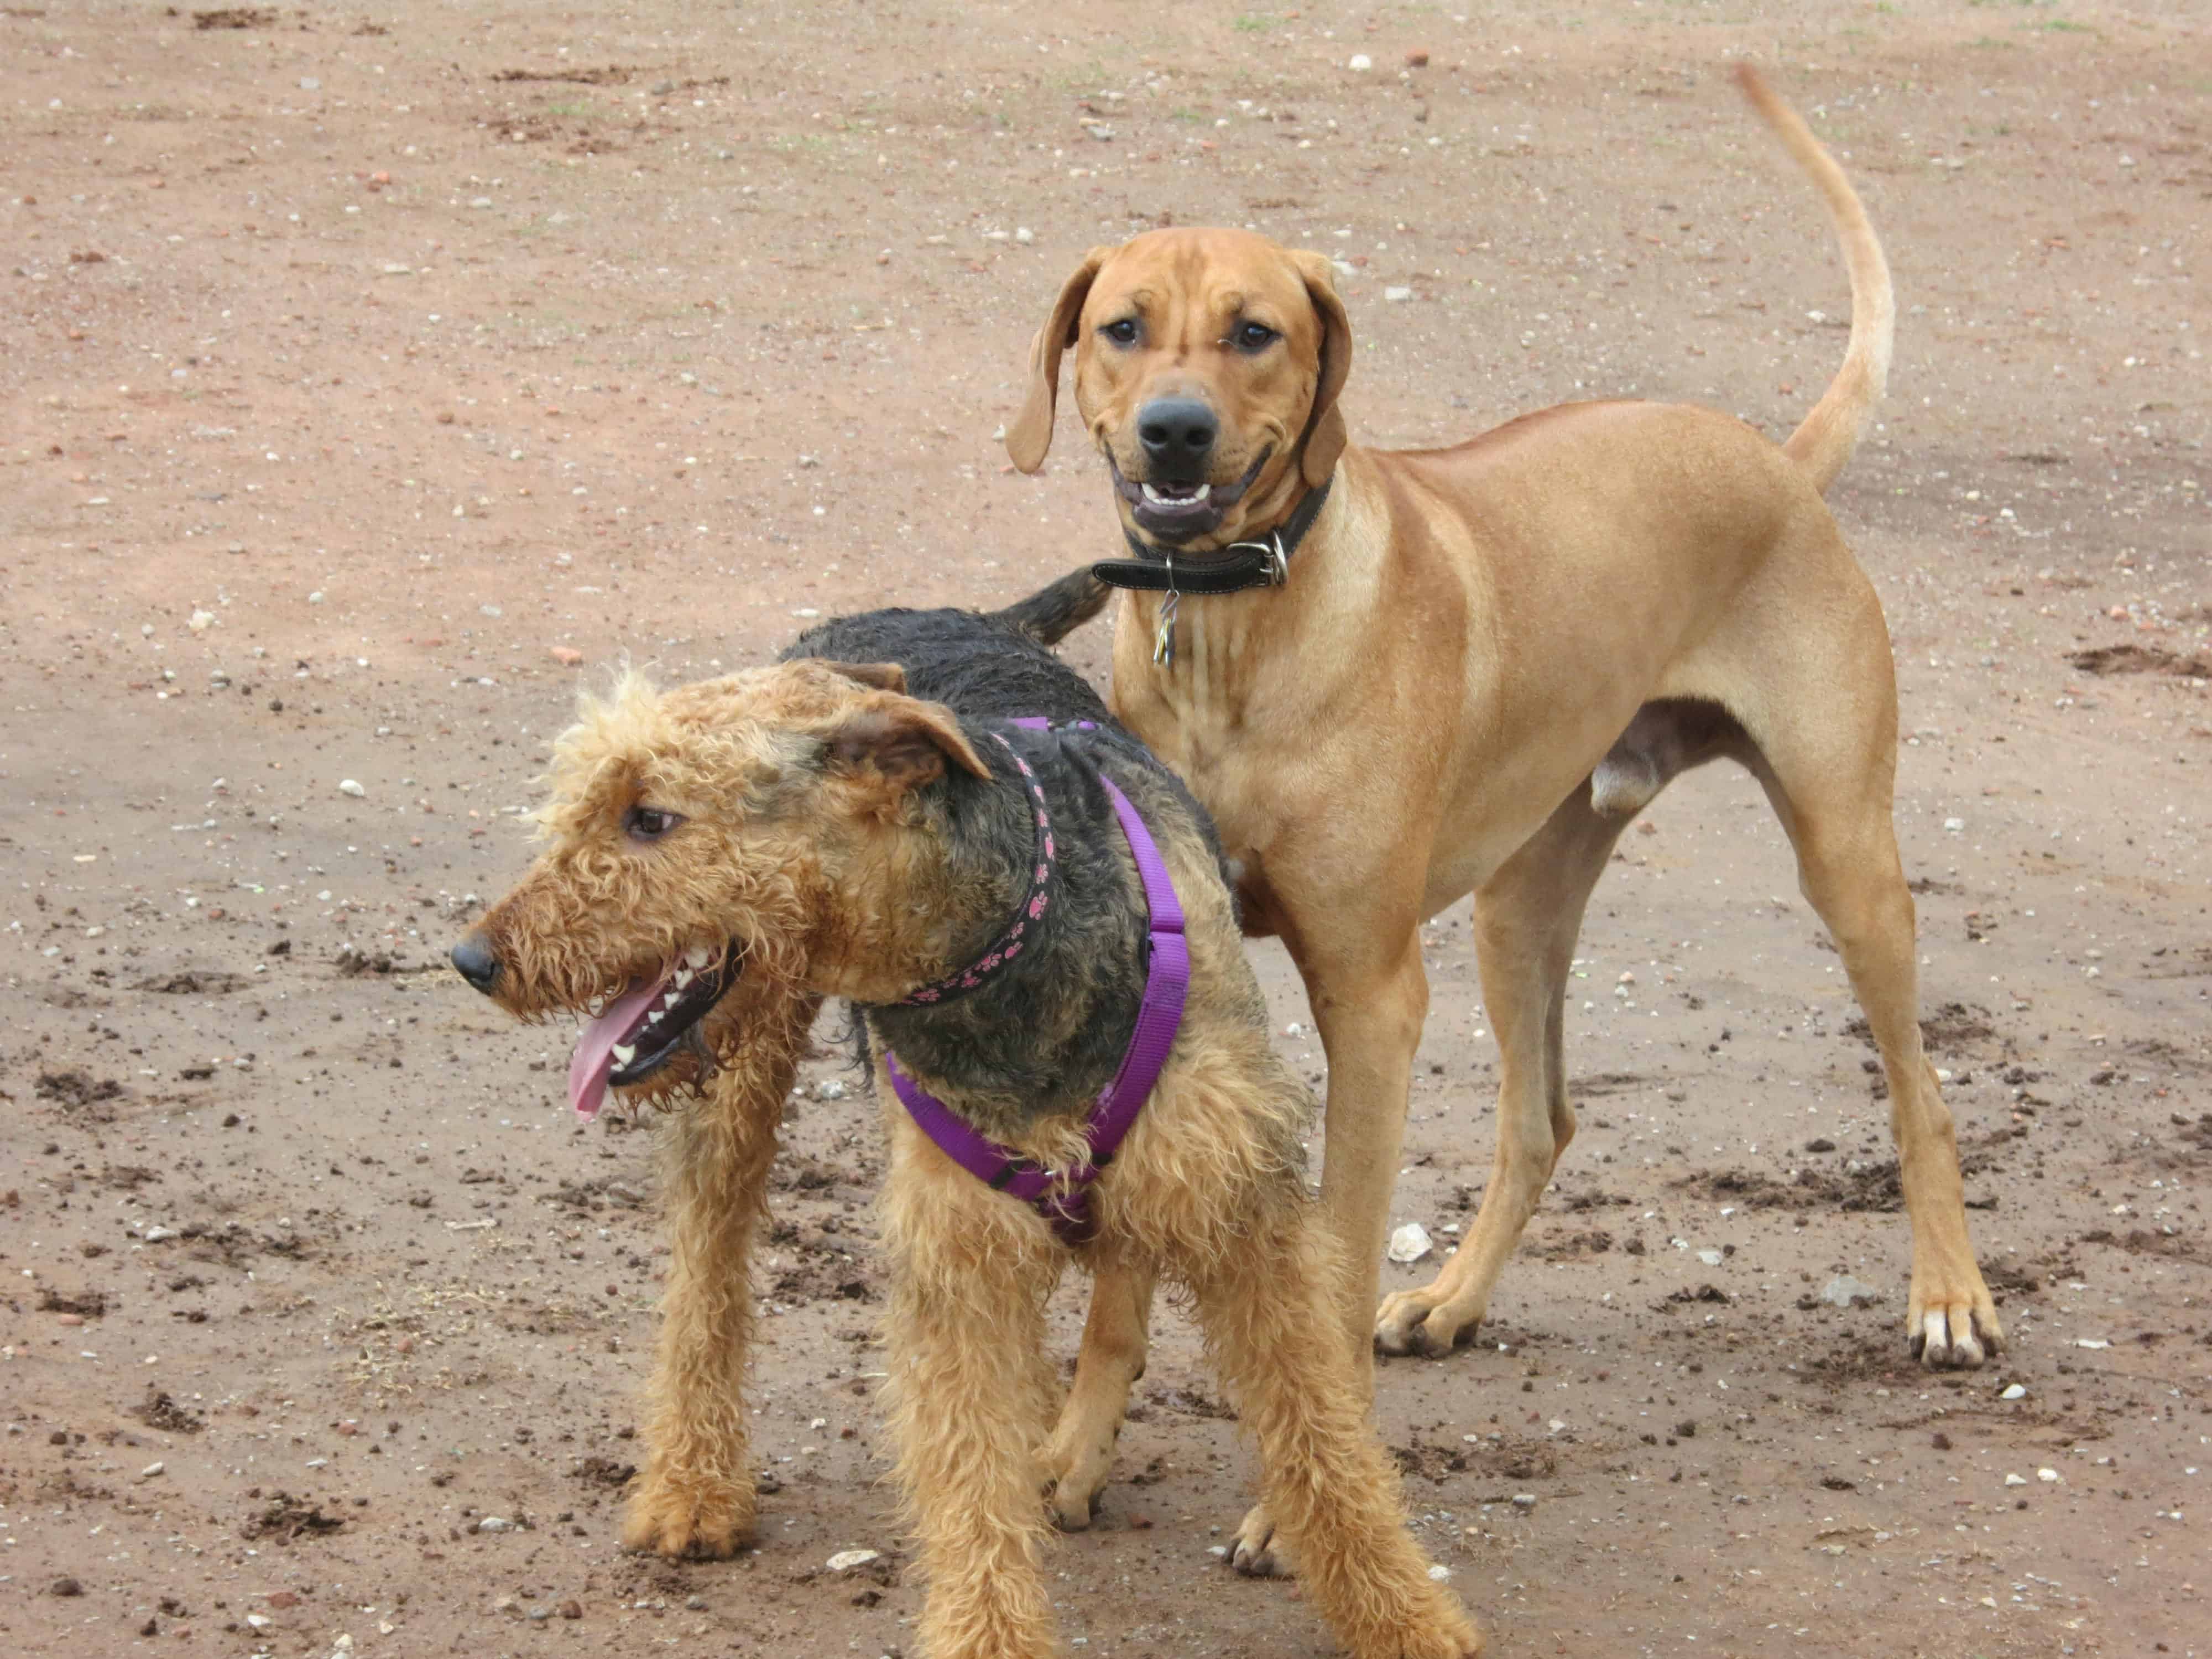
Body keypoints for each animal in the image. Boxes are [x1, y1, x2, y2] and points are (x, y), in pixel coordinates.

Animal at [456, 584, 1478, 1659]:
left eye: (652, 817)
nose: (474, 959)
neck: (999, 939)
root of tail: (914, 615)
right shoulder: (960, 1256)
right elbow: (969, 1488)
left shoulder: (1246, 1214)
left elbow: (1327, 1448)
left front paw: (1408, 1622)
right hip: (744, 1080)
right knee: (707, 1280)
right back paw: (691, 1491)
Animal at [1013, 65, 2017, 1575]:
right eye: (1121, 328)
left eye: (1255, 332)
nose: (1173, 429)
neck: (1238, 620)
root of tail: (1775, 462)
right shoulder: (1169, 976)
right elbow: (1123, 1264)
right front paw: (1075, 1450)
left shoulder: (1371, 997)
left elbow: (1335, 1254)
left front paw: (1293, 1507)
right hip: (1517, 901)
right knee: (1541, 1119)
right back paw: (1450, 1299)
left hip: (1846, 860)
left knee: (1920, 1092)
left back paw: (1948, 1293)